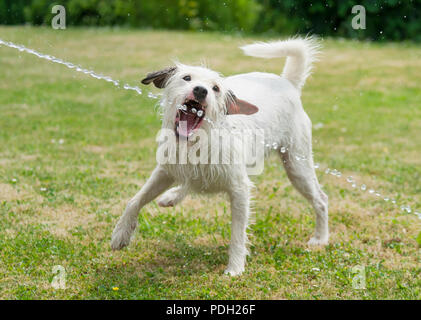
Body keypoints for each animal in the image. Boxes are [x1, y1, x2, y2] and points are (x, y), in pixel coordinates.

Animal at [110, 37, 328, 276]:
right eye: (187, 78)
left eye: (215, 88)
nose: (200, 90)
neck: (199, 141)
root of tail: (287, 83)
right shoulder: (165, 171)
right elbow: (134, 200)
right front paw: (121, 233)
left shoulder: (240, 189)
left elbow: (238, 234)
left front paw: (235, 268)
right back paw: (173, 195)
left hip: (297, 167)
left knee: (321, 200)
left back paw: (320, 237)